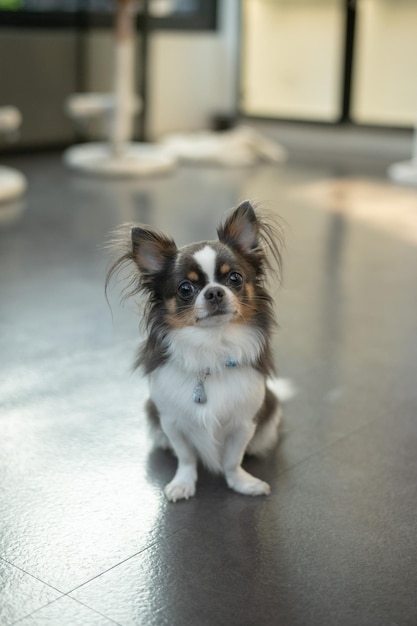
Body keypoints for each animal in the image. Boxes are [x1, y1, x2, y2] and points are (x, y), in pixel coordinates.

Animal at [106, 202, 286, 500]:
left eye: (235, 278)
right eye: (185, 288)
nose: (214, 292)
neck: (211, 345)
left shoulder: (243, 423)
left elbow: (232, 460)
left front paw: (241, 483)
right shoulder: (172, 421)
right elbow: (186, 457)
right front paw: (183, 484)